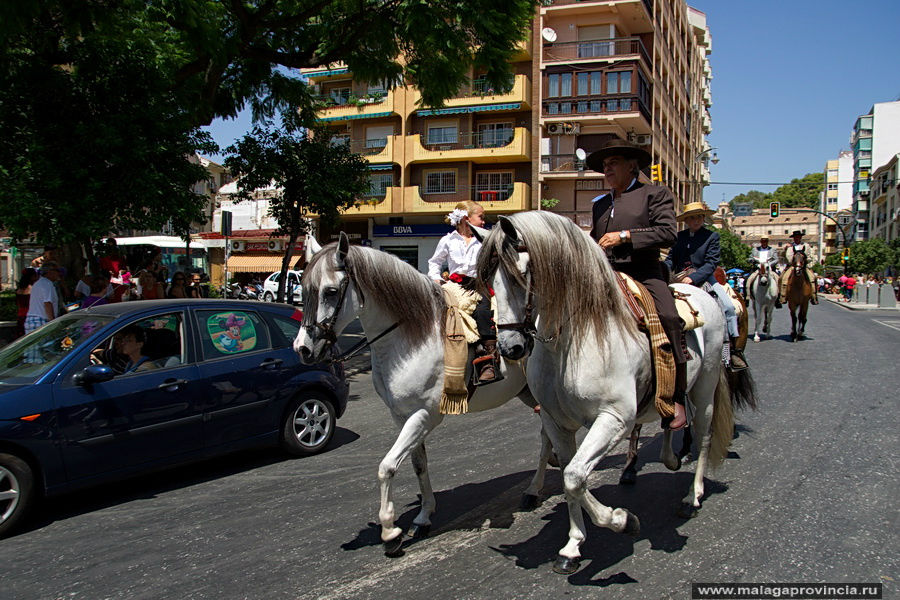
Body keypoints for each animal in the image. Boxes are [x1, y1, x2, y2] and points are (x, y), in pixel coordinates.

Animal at [296, 233, 552, 556]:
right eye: (304, 291)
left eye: (330, 292)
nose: (303, 349)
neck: (412, 337)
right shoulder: (402, 415)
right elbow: (418, 464)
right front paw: (423, 516)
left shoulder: (426, 415)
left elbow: (387, 467)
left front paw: (390, 532)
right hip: (526, 392)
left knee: (547, 434)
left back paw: (533, 489)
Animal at [478, 213, 760, 576]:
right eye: (488, 279)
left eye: (522, 273)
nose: (509, 347)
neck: (575, 336)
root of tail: (698, 291)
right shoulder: (556, 422)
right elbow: (571, 476)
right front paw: (572, 546)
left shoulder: (613, 419)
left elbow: (574, 477)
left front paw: (623, 521)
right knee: (672, 415)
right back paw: (669, 458)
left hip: (705, 389)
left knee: (704, 437)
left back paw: (692, 496)